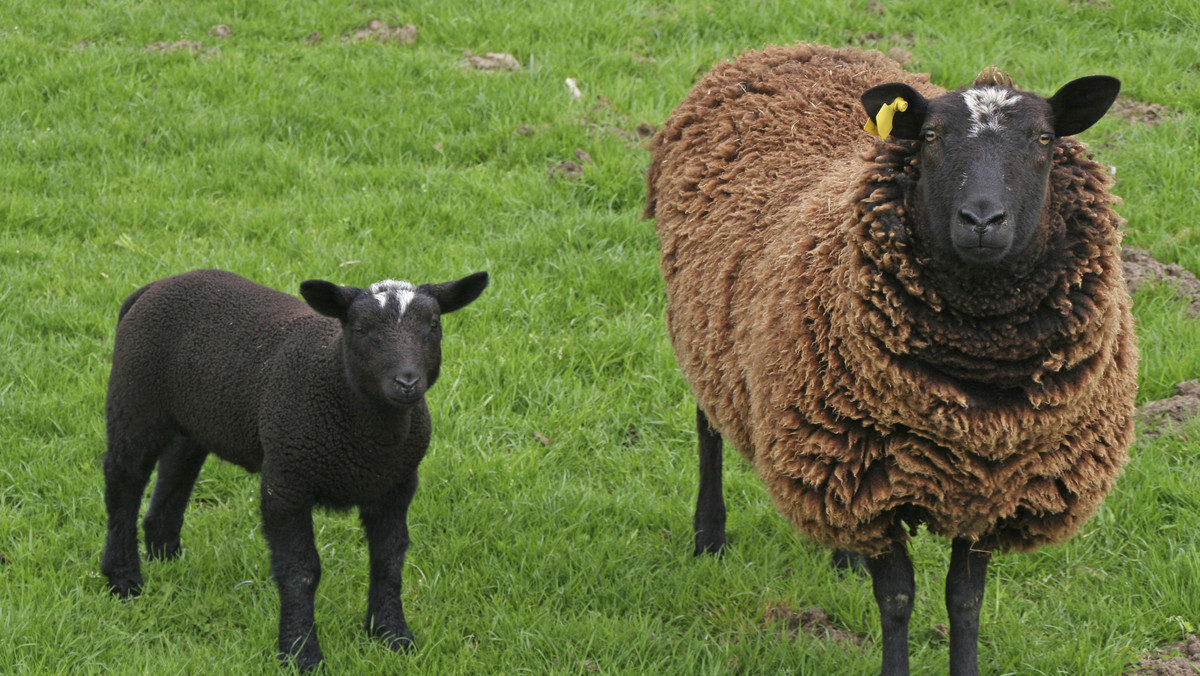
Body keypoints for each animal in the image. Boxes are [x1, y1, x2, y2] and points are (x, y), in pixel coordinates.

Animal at [648, 43, 1132, 676]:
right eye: (929, 136)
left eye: (1045, 138)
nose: (982, 221)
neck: (974, 392)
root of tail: (788, 48)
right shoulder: (871, 476)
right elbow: (898, 597)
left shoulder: (993, 486)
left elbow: (965, 600)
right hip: (707, 325)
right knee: (708, 426)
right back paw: (709, 536)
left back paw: (843, 558)